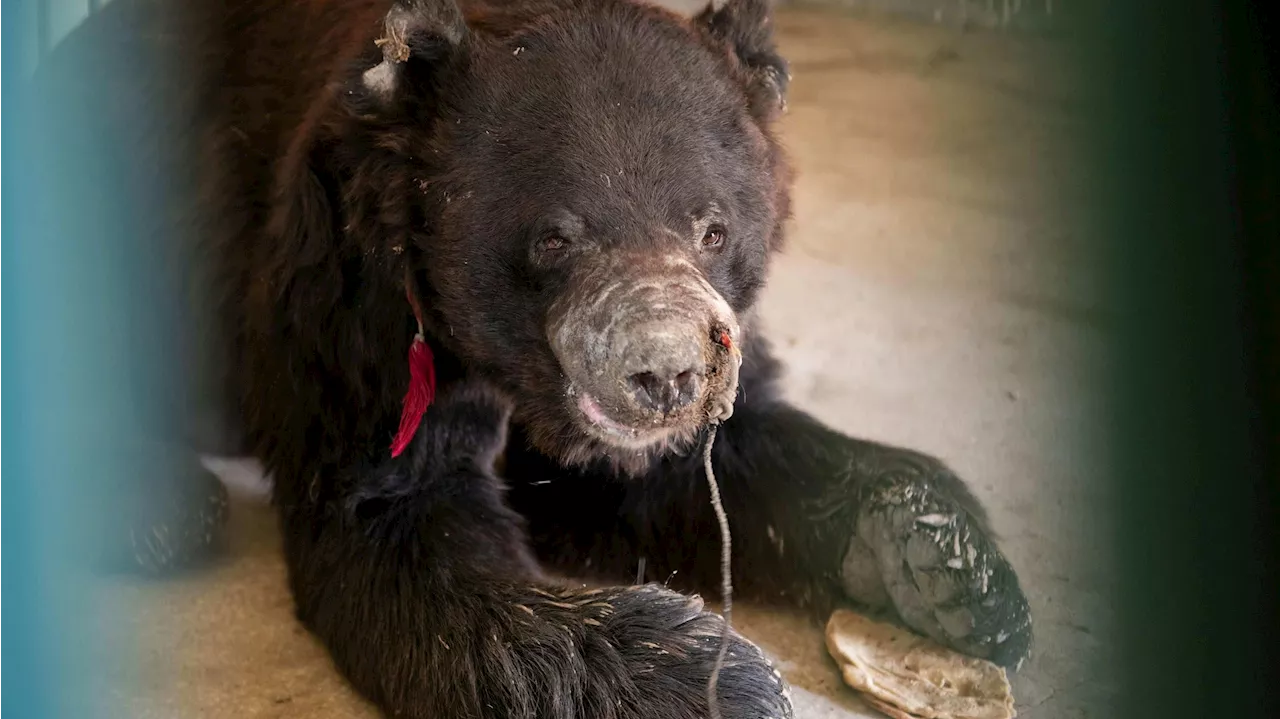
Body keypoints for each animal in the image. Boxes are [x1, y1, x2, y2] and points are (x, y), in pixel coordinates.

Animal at [30, 0, 1029, 711]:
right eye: (555, 239)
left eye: (713, 230)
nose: (666, 376)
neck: (510, 369)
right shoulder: (358, 304)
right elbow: (399, 522)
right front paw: (717, 675)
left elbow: (697, 464)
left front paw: (941, 560)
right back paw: (152, 505)